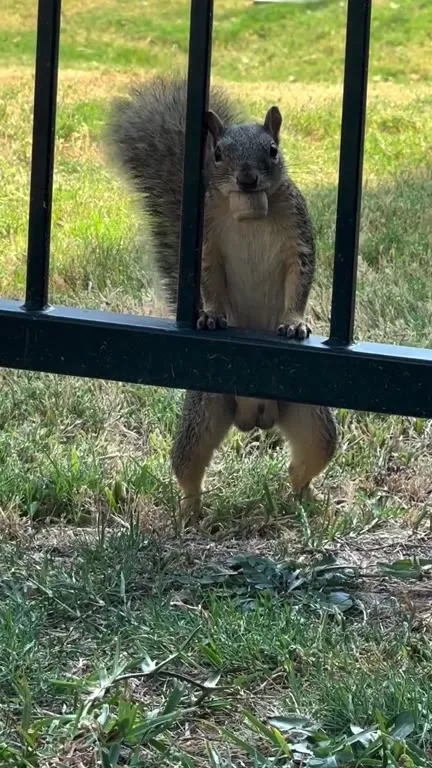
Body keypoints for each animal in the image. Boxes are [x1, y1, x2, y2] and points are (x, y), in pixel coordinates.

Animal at [106, 76, 337, 523]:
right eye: (217, 154)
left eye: (273, 150)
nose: (247, 179)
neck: (247, 210)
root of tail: (255, 417)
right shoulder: (209, 239)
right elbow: (210, 280)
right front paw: (212, 316)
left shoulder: (298, 237)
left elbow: (300, 279)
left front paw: (294, 322)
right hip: (205, 409)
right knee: (188, 466)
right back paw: (190, 512)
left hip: (310, 415)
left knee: (304, 463)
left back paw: (306, 499)